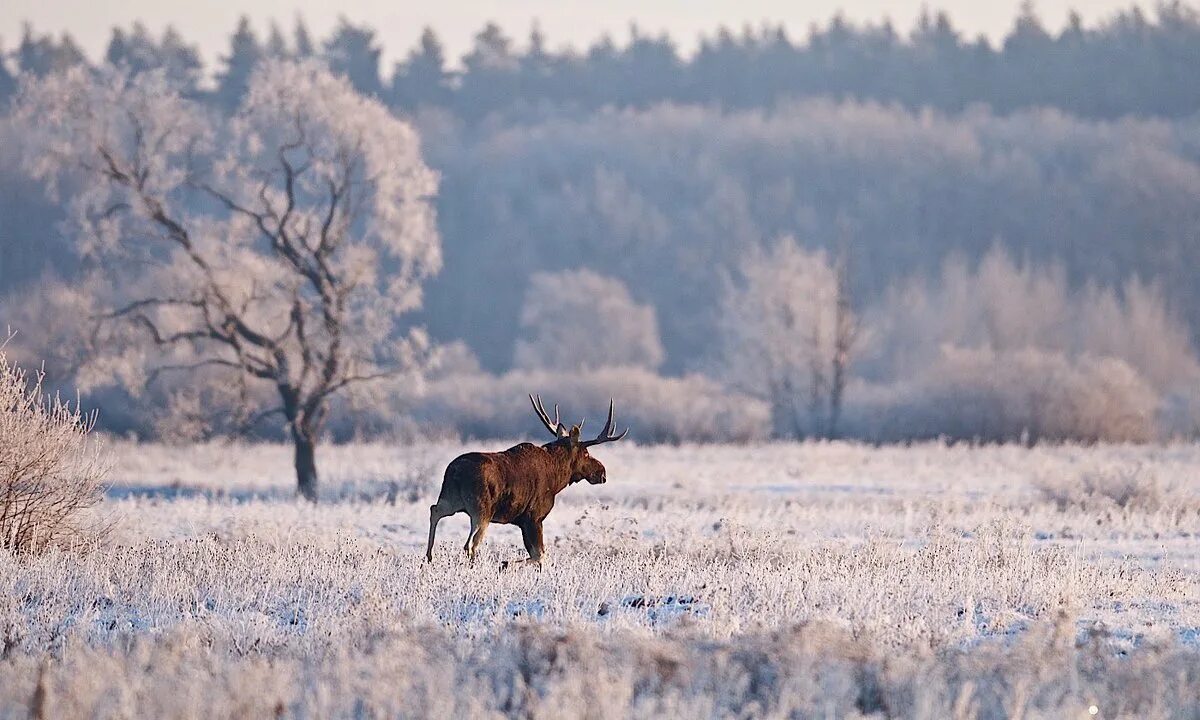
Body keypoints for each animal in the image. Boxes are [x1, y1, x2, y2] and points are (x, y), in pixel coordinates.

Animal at [427, 393, 628, 568]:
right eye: (586, 453)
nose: (602, 473)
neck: (557, 479)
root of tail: (454, 471)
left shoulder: (522, 521)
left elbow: (537, 554)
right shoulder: (534, 516)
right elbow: (540, 555)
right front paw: (505, 564)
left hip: (452, 499)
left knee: (435, 510)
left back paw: (429, 557)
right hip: (481, 509)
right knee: (471, 543)